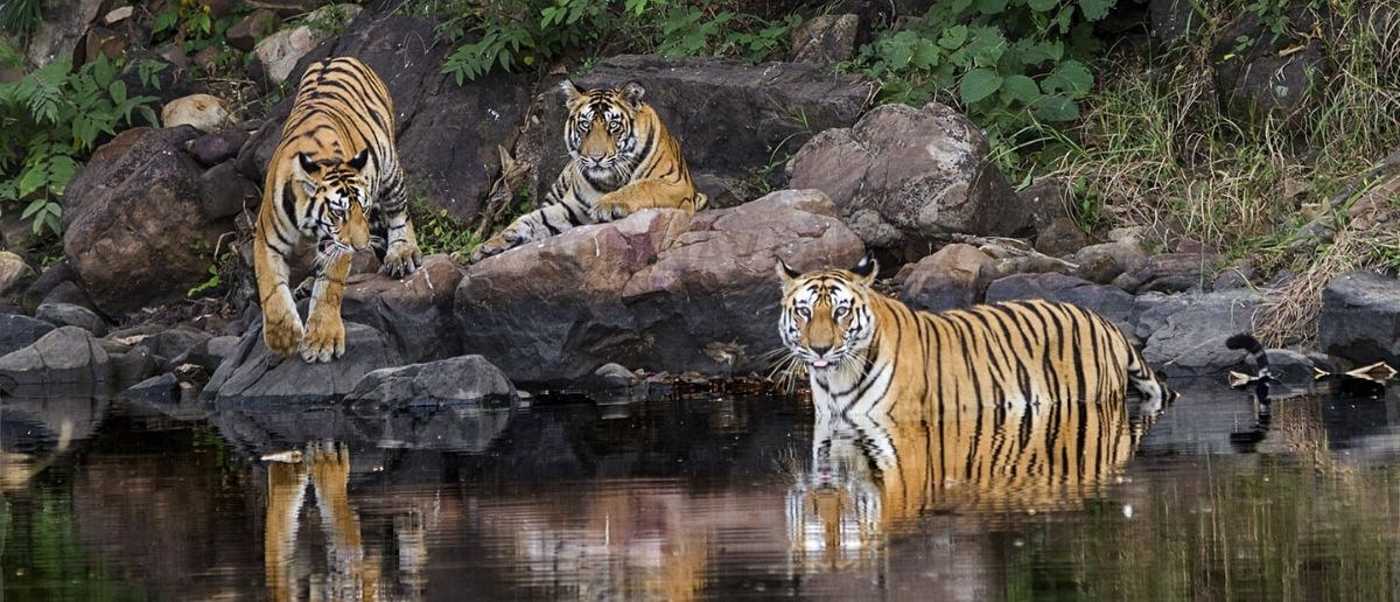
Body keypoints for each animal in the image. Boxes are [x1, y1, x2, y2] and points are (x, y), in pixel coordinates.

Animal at [254, 56, 422, 363]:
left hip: (389, 165)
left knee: (399, 213)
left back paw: (402, 253)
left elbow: (330, 286)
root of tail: (335, 57)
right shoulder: (266, 239)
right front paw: (283, 337)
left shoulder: (338, 246)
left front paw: (322, 340)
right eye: (338, 212)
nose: (361, 245)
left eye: (362, 209)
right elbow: (270, 287)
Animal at [470, 79, 706, 262]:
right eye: (585, 125)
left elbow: (642, 186)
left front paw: (607, 204)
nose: (596, 158)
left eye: (613, 126)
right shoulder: (572, 207)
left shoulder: (676, 185)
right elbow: (533, 219)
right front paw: (492, 243)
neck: (610, 179)